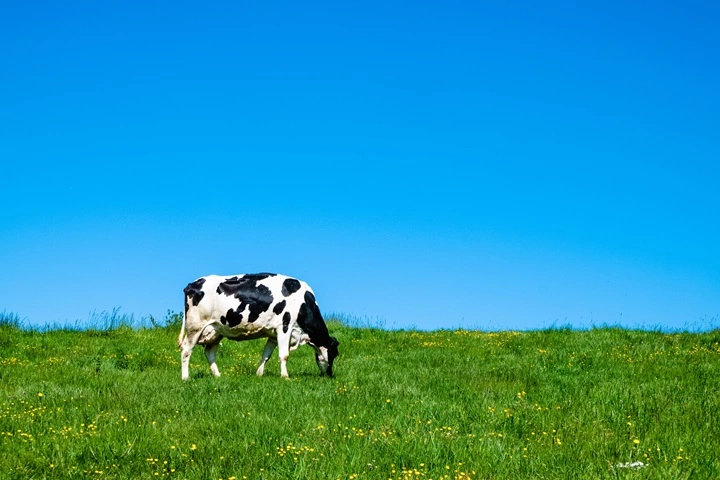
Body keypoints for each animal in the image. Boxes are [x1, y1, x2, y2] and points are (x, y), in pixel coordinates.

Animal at [178, 273, 339, 380]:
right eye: (335, 353)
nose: (329, 375)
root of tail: (192, 284)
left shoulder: (273, 335)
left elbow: (266, 355)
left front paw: (259, 374)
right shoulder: (284, 326)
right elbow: (284, 355)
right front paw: (285, 376)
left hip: (216, 330)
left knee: (210, 352)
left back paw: (218, 376)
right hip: (195, 327)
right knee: (186, 350)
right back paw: (185, 378)